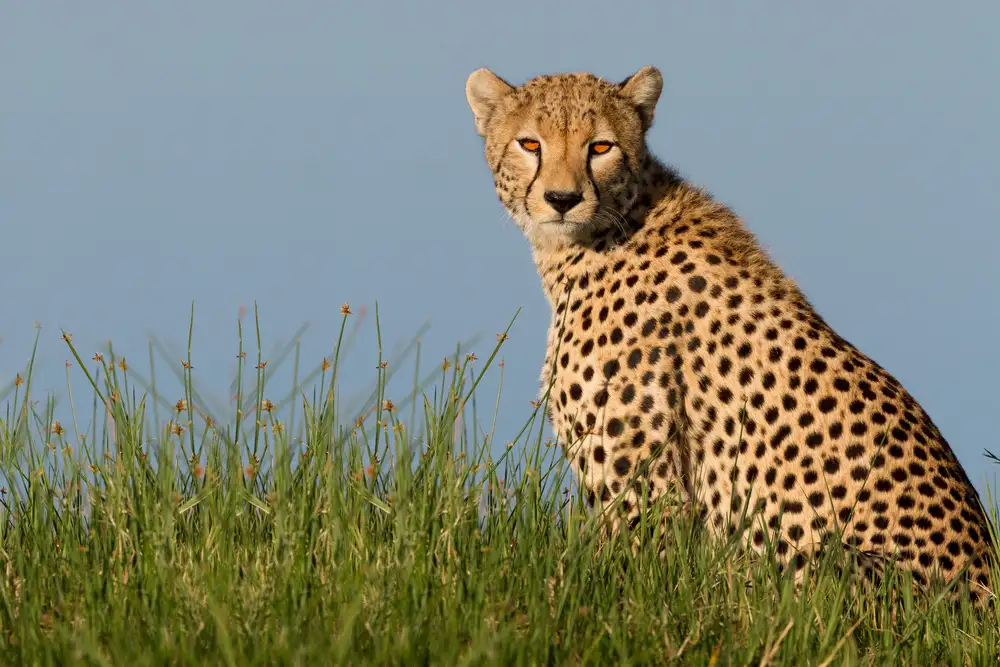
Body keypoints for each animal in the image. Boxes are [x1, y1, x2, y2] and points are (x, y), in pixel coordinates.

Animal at [465, 64, 997, 604]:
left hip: (832, 565)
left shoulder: (647, 492)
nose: (562, 199)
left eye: (600, 147)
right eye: (530, 144)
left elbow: (629, 586)